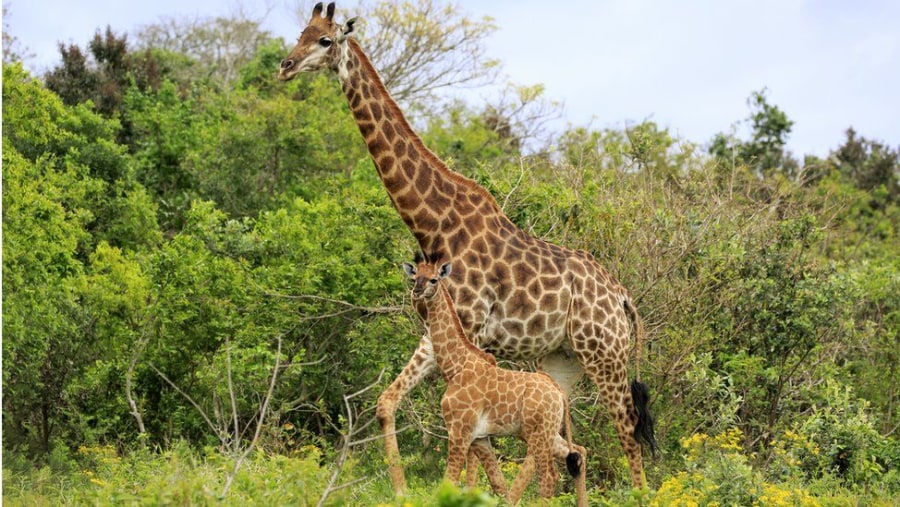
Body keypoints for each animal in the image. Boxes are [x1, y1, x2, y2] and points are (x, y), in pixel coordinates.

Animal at [404, 256, 588, 506]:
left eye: (433, 279)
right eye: (415, 277)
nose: (417, 290)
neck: (454, 367)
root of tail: (559, 393)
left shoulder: (459, 431)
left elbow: (448, 481)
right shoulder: (480, 438)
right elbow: (498, 484)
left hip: (538, 433)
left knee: (550, 475)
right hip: (547, 432)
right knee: (578, 453)